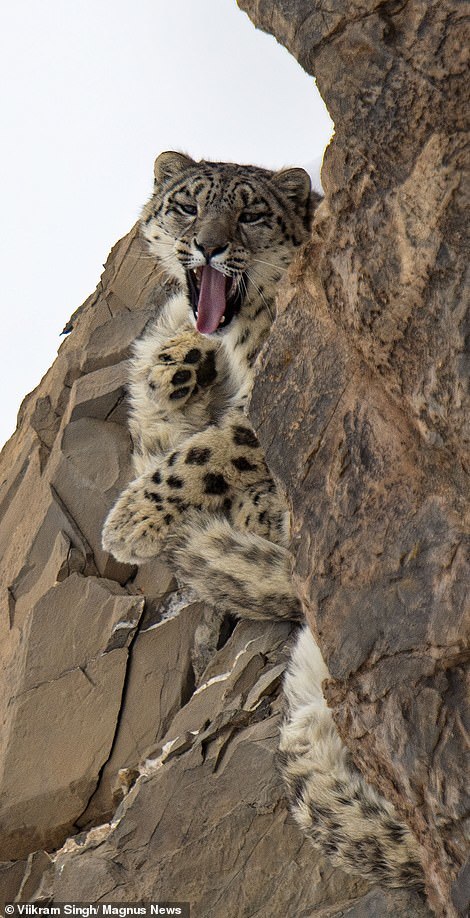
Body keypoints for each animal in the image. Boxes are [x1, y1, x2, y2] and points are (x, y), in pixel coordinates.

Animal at [101, 151, 424, 892]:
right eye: (187, 205)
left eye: (250, 212)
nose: (209, 246)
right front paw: (174, 361)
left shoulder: (272, 405)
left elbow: (203, 453)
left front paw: (130, 520)